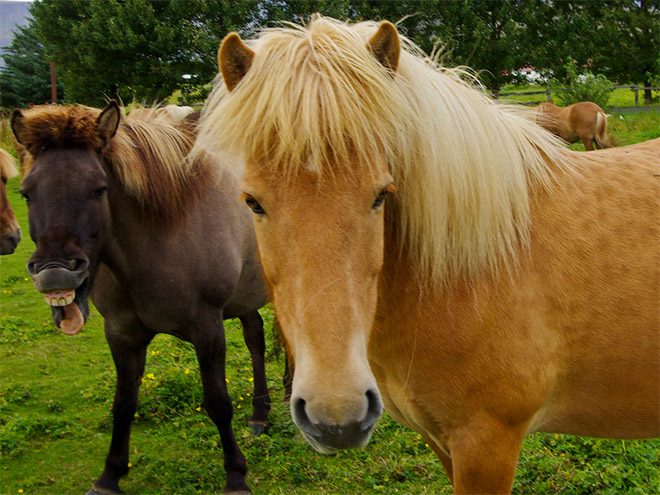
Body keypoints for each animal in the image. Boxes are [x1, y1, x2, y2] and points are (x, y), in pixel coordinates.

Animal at [11, 101, 268, 495]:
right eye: (26, 193)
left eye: (99, 189)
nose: (55, 273)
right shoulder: (121, 333)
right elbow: (123, 403)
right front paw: (110, 475)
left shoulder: (208, 328)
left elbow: (218, 403)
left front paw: (236, 476)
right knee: (256, 338)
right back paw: (261, 414)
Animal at [196, 16, 660, 495]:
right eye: (252, 202)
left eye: (382, 194)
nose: (336, 416)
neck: (467, 274)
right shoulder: (441, 442)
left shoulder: (486, 443)